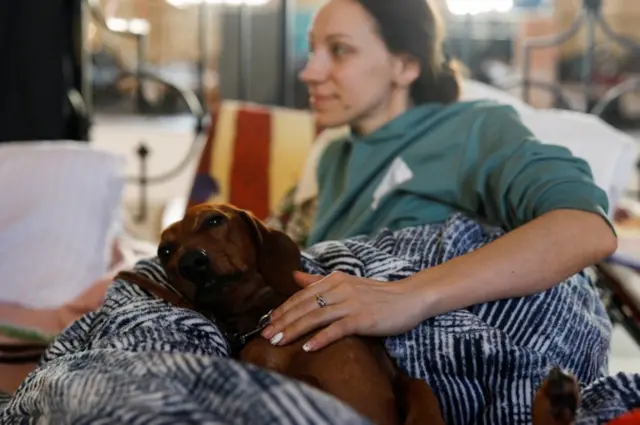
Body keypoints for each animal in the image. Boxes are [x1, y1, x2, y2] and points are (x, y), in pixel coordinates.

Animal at [115, 203, 580, 424]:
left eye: (213, 220)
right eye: (165, 250)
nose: (190, 263)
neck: (263, 313)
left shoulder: (400, 379)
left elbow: (423, 394)